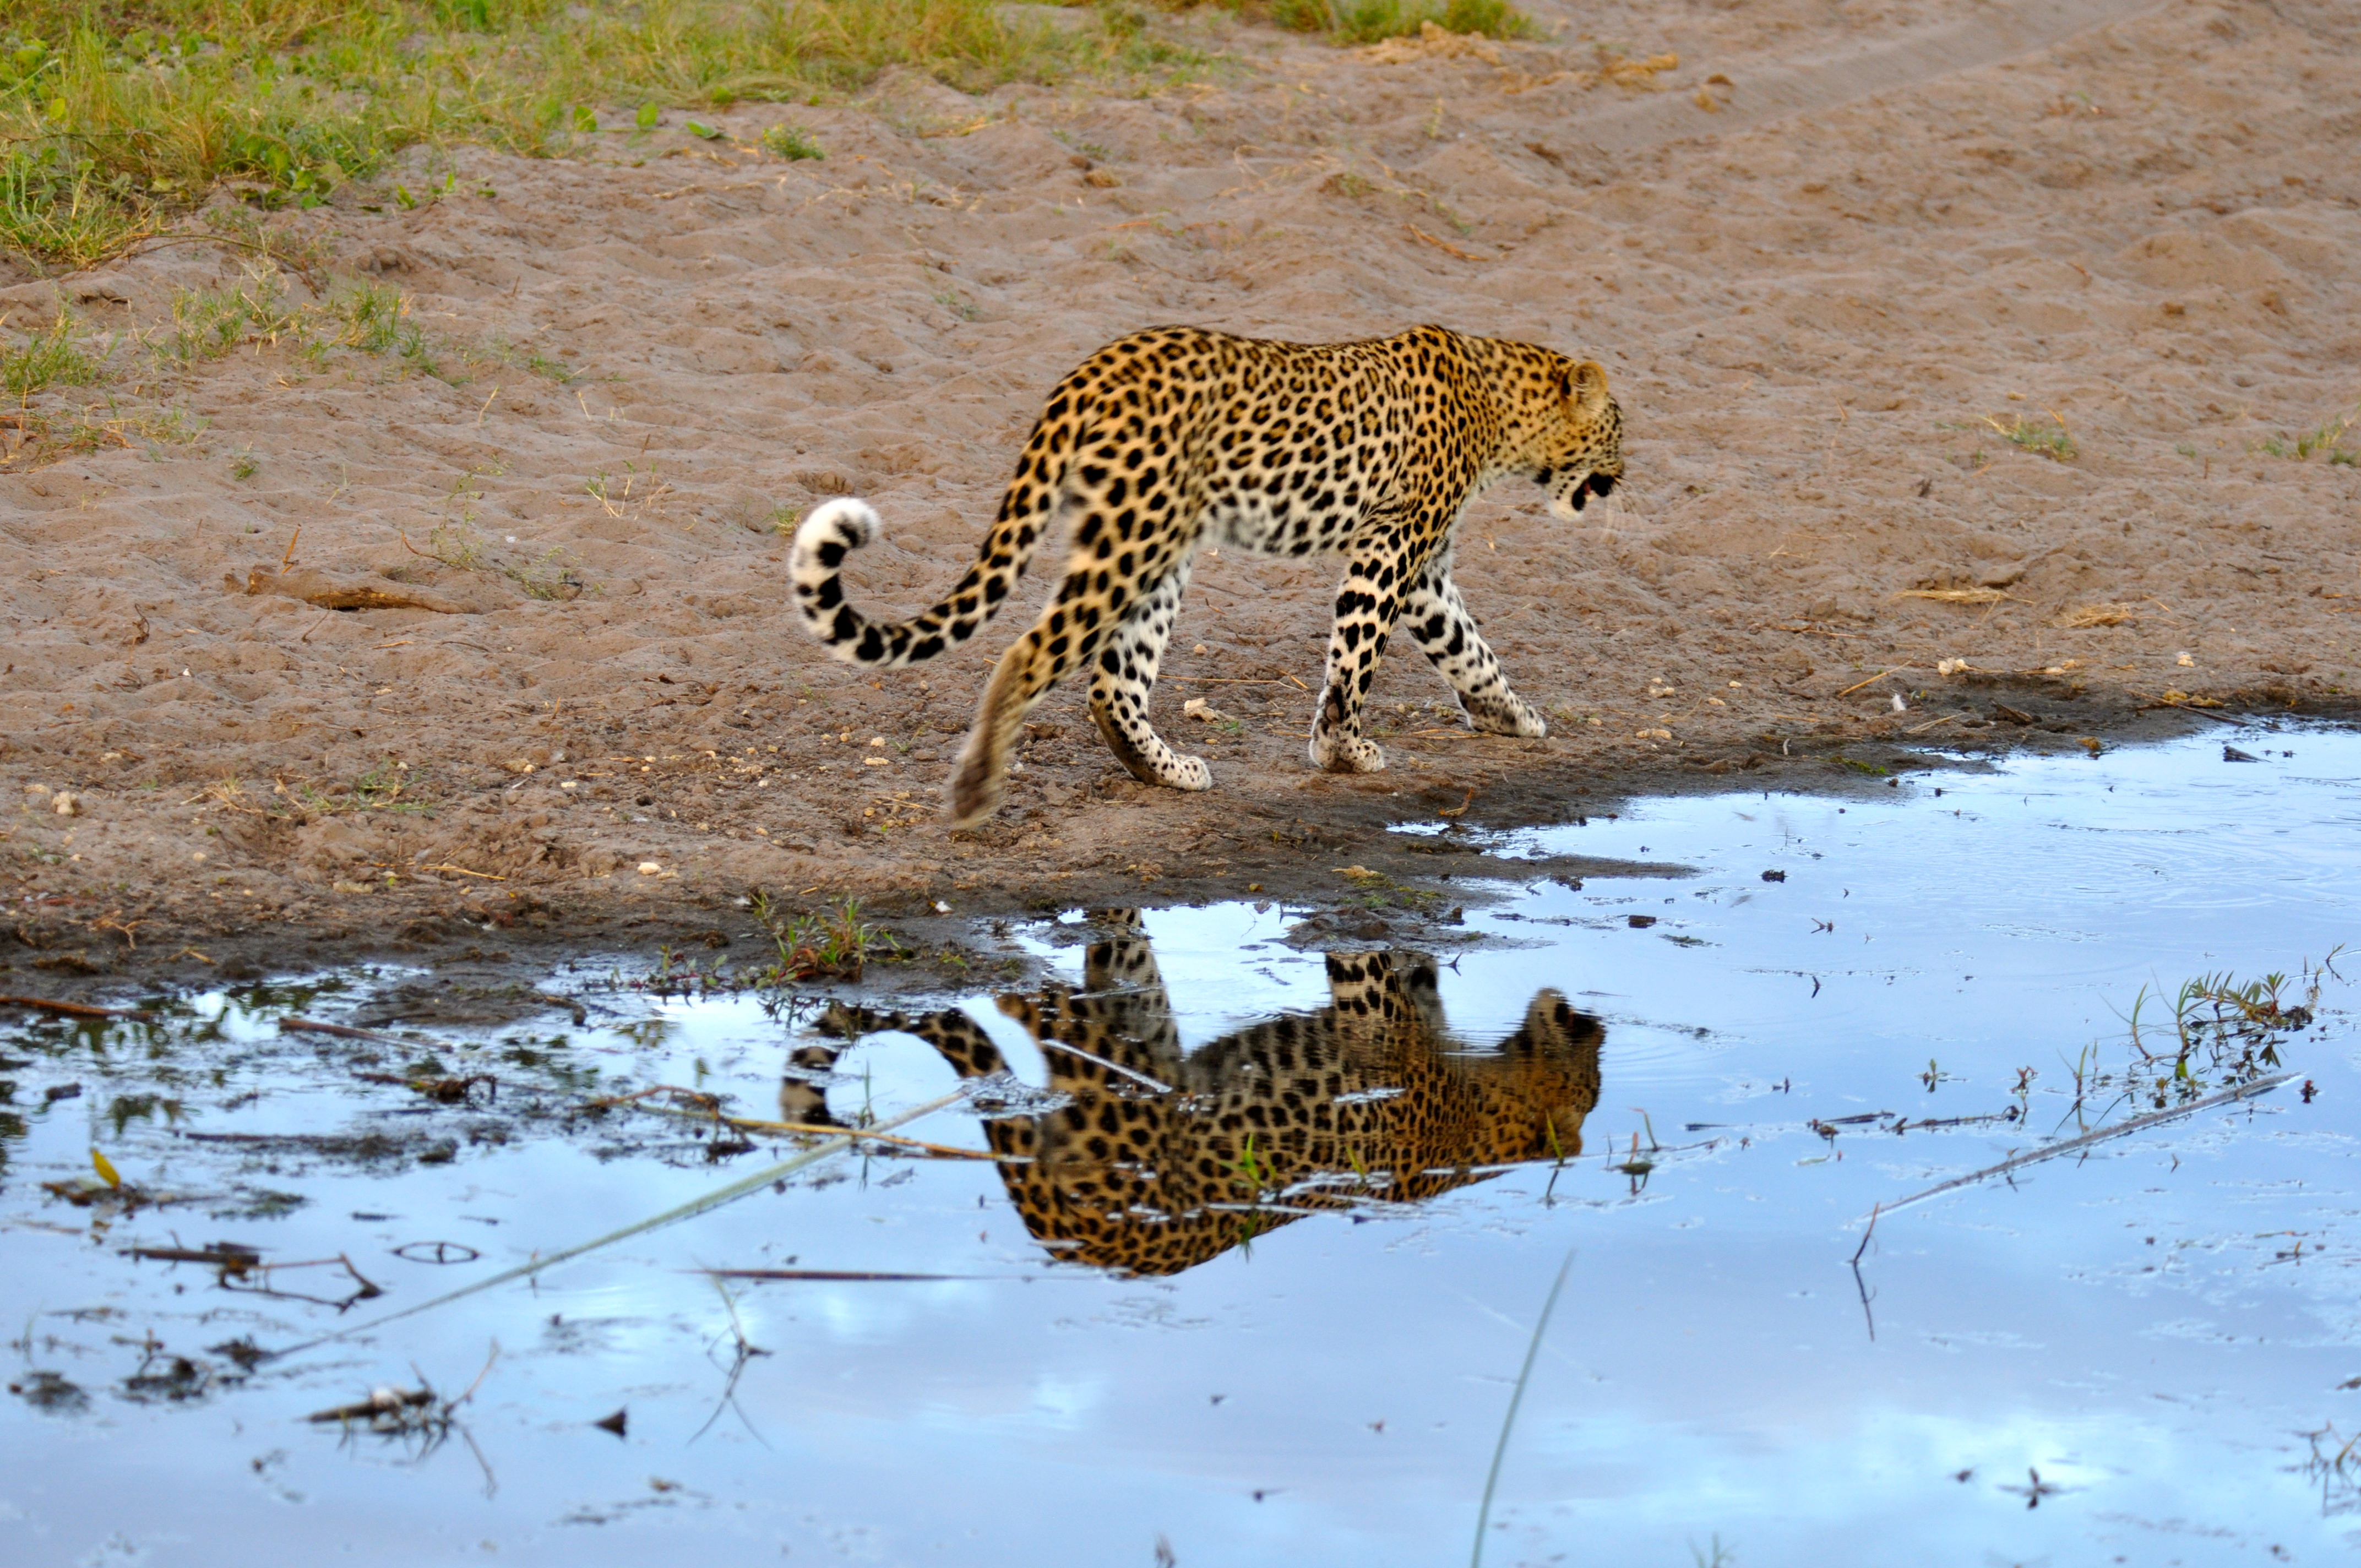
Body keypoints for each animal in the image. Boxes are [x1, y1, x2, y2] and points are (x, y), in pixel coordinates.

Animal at [788, 324, 1625, 825]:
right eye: (1619, 430)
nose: (1623, 477)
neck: (1499, 406)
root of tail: (1090, 371)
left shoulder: (1423, 571)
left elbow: (1467, 646)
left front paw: (1510, 715)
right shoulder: (1393, 548)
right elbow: (1357, 658)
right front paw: (1343, 751)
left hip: (1156, 551)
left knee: (1111, 682)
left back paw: (1162, 770)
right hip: (1136, 539)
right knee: (1032, 653)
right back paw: (975, 789)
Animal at [788, 913, 1604, 1277]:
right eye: (1596, 1079)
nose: (1596, 1025)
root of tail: (1067, 1236)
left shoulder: (1375, 1015)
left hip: (1115, 1062)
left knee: (1040, 997)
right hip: (1128, 1042)